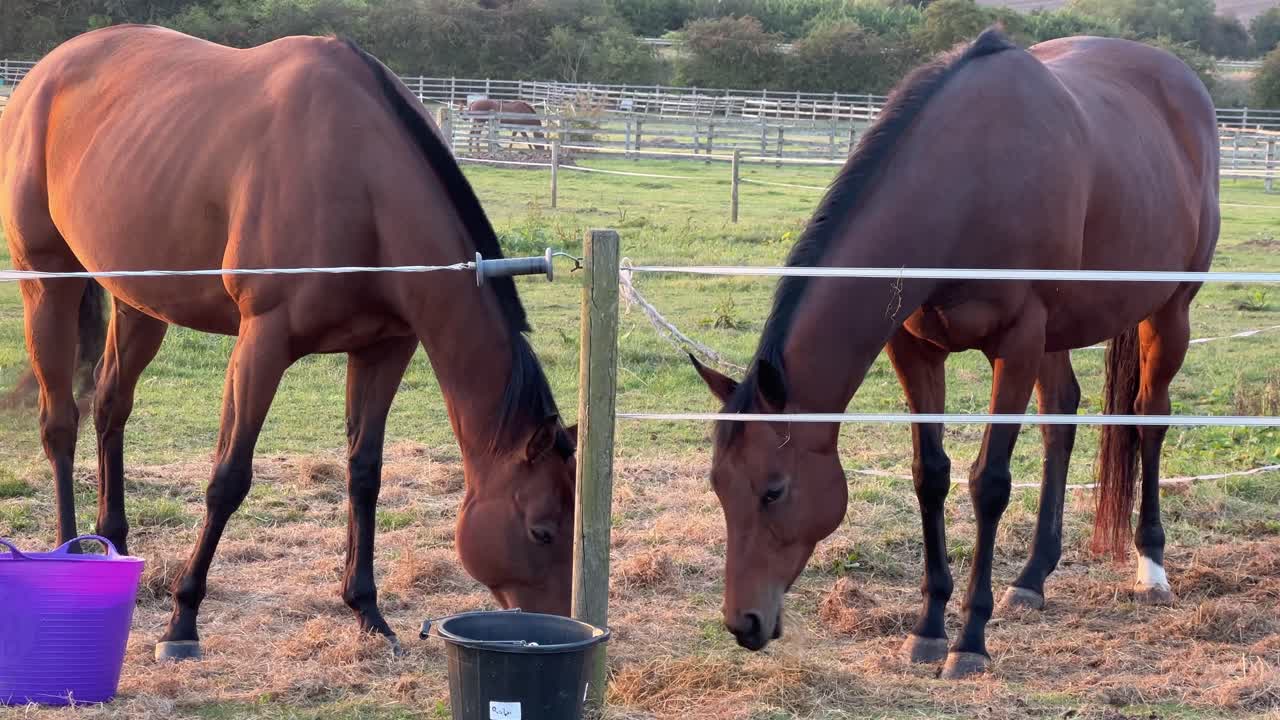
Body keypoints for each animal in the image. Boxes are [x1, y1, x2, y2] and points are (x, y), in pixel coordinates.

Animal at [0, 25, 579, 662]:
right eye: (542, 531)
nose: (555, 625)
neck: (361, 186)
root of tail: (44, 72)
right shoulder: (262, 344)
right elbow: (228, 479)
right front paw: (182, 621)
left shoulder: (385, 349)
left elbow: (364, 473)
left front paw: (367, 612)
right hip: (46, 283)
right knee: (60, 422)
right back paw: (71, 556)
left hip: (140, 302)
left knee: (109, 407)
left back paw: (114, 545)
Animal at [689, 27, 1219, 679]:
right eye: (719, 487)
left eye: (773, 490)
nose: (744, 623)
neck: (968, 182)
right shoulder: (916, 350)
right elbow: (930, 476)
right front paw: (928, 628)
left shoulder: (1017, 343)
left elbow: (988, 482)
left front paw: (970, 640)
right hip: (1059, 336)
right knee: (1061, 419)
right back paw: (1033, 578)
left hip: (1167, 314)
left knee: (1148, 420)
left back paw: (1150, 569)